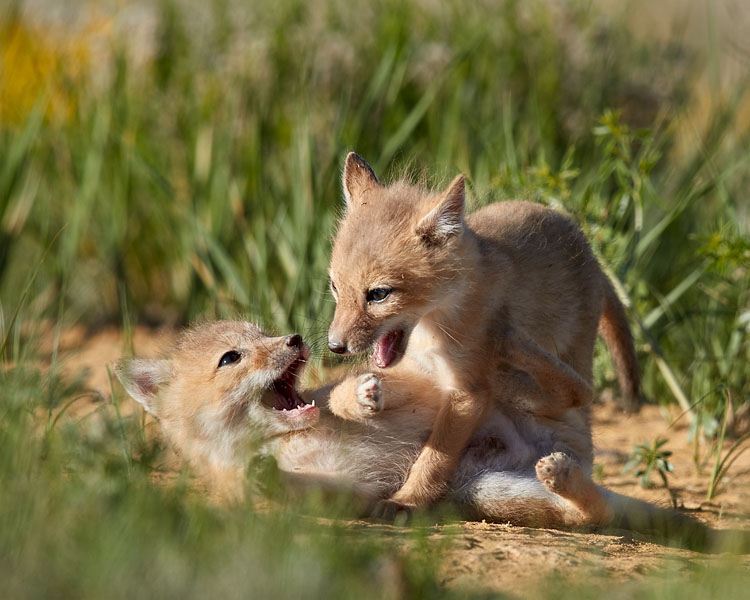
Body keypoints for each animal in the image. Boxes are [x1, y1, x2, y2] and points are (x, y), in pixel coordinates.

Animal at [114, 321, 739, 553]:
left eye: (262, 331)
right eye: (231, 357)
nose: (294, 338)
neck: (292, 442)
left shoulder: (419, 391)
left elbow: (344, 395)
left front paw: (358, 397)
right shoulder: (352, 495)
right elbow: (281, 488)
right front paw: (265, 478)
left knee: (576, 390)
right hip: (490, 493)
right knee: (593, 513)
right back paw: (564, 477)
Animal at [326, 152, 641, 514]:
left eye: (378, 294)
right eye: (334, 287)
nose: (334, 346)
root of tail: (589, 249)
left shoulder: (467, 392)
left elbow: (434, 458)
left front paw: (408, 500)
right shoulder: (421, 373)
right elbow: (337, 396)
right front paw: (361, 399)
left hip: (567, 368)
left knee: (579, 395)